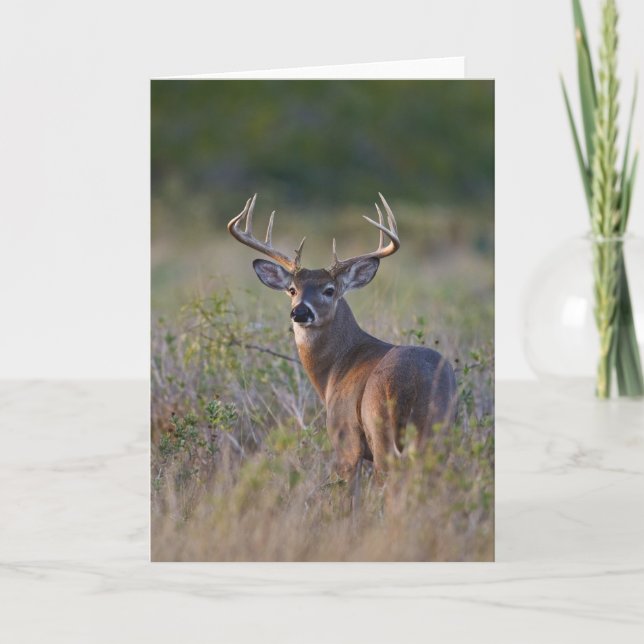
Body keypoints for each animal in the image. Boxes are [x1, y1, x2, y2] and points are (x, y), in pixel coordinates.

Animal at [228, 193, 457, 492]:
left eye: (329, 290)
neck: (335, 369)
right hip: (439, 430)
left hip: (380, 428)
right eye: (292, 290)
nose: (300, 312)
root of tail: (414, 381)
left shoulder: (344, 435)